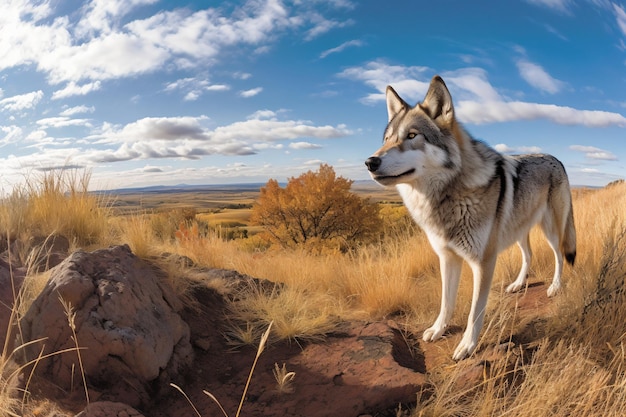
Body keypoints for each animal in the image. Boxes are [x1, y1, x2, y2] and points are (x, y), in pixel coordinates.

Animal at [366, 75, 576, 360]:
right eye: (386, 139)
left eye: (411, 136)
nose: (370, 162)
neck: (446, 198)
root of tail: (556, 158)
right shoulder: (447, 258)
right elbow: (446, 301)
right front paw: (438, 330)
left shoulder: (483, 262)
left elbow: (475, 312)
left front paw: (467, 346)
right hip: (518, 230)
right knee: (528, 255)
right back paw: (517, 284)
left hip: (551, 230)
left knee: (559, 256)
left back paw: (554, 287)